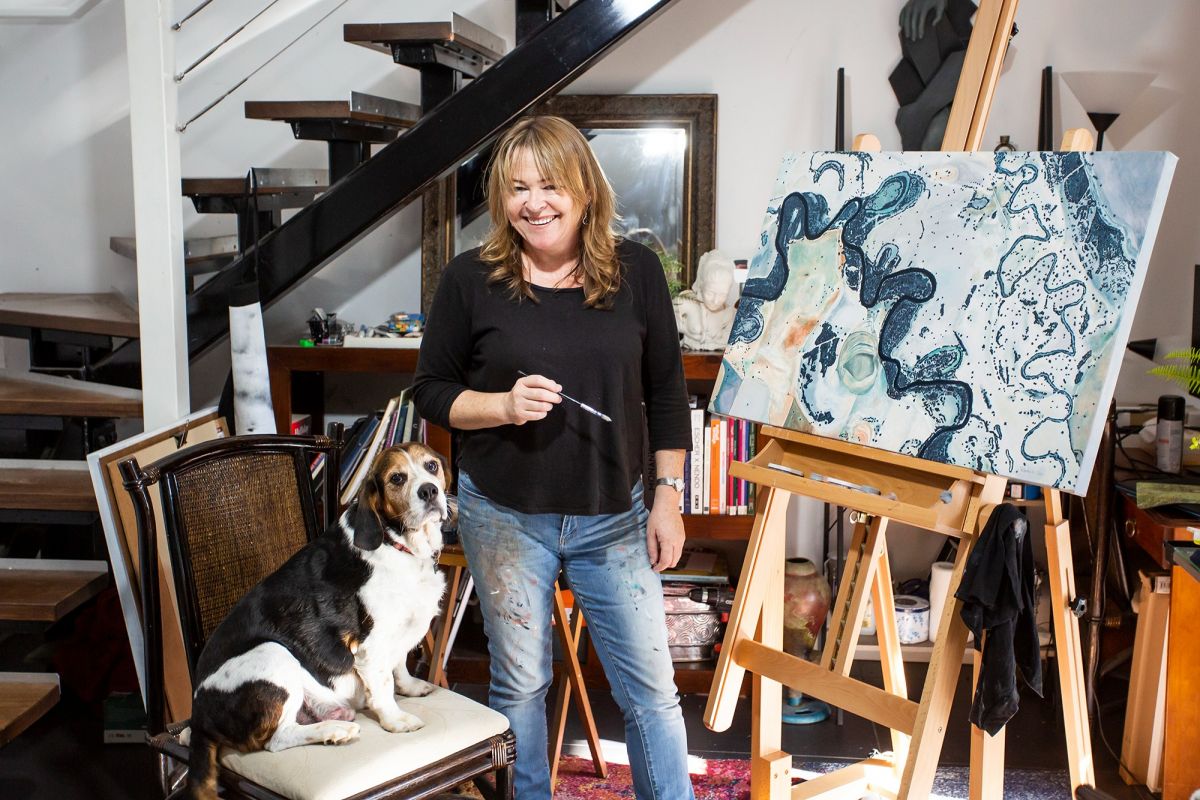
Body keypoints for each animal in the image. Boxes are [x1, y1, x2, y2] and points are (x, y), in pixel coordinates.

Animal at [184, 441, 451, 796]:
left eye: (431, 466)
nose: (429, 490)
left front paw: (411, 687)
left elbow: (400, 667)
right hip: (273, 652)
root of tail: (197, 714)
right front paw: (396, 720)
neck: (398, 544)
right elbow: (383, 686)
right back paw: (335, 731)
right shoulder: (372, 646)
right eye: (397, 478)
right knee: (276, 740)